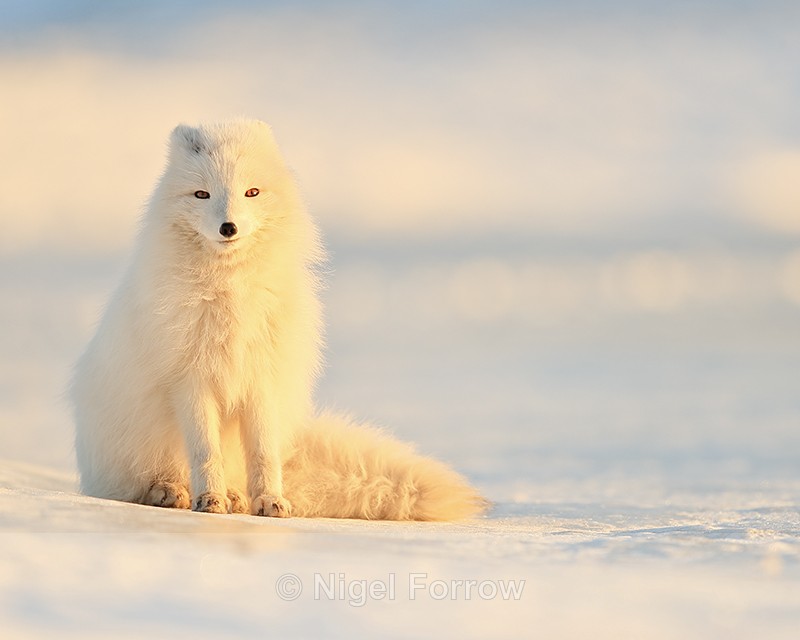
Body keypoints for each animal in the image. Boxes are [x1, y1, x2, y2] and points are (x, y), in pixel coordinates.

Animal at [70, 119, 486, 521]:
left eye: (251, 192)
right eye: (202, 195)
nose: (228, 228)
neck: (232, 290)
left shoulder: (262, 379)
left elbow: (264, 454)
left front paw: (269, 501)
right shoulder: (190, 380)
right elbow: (205, 452)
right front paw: (209, 500)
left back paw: (237, 496)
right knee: (138, 484)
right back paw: (170, 491)